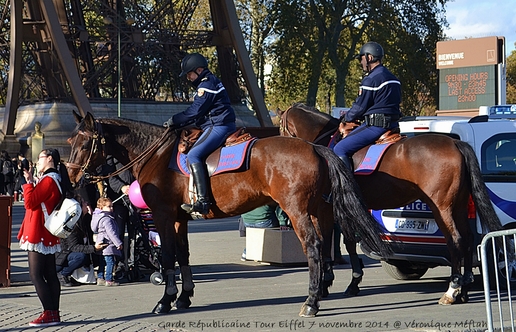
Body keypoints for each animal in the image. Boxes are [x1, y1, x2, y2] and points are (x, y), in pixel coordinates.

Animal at [64, 111, 390, 316]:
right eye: (70, 142)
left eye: (85, 142)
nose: (71, 177)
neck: (156, 154)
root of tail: (315, 147)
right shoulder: (180, 218)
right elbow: (182, 255)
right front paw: (184, 295)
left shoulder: (163, 215)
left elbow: (167, 256)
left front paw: (166, 300)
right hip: (319, 209)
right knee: (325, 245)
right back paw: (322, 290)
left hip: (298, 210)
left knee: (313, 246)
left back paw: (311, 302)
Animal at [278, 103, 504, 306]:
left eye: (280, 128)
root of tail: (455, 144)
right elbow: (348, 243)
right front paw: (352, 282)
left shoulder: (325, 210)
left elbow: (327, 243)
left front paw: (326, 284)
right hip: (458, 206)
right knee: (467, 240)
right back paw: (464, 290)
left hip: (442, 208)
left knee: (455, 241)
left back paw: (452, 290)